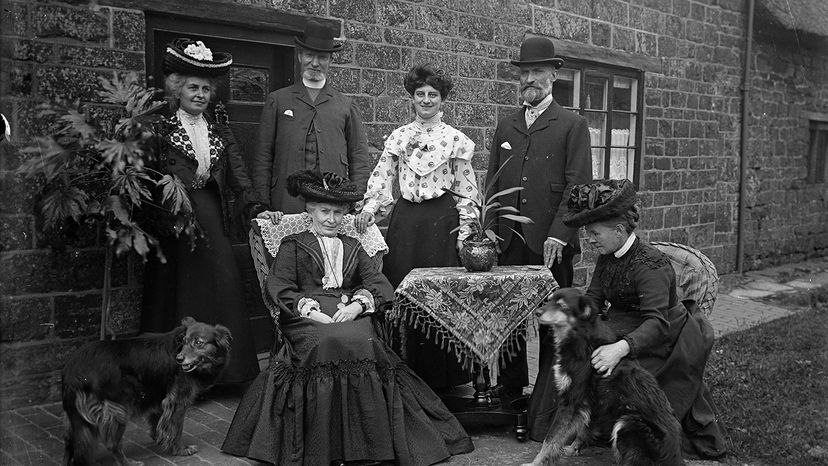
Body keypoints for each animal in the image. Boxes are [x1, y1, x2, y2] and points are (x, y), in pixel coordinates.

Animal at [61, 314, 231, 464]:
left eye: (198, 343)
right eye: (185, 341)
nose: (179, 359)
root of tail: (72, 371)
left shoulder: (161, 397)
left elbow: (160, 422)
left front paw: (161, 439)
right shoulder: (177, 401)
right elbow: (176, 428)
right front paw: (180, 449)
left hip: (77, 416)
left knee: (72, 442)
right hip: (118, 409)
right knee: (111, 444)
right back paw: (129, 463)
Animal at [520, 288, 684, 466]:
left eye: (562, 305)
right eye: (549, 300)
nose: (537, 312)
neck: (580, 336)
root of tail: (675, 456)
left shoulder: (571, 401)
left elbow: (551, 438)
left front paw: (536, 462)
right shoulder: (591, 404)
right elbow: (583, 429)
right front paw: (573, 448)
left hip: (627, 423)